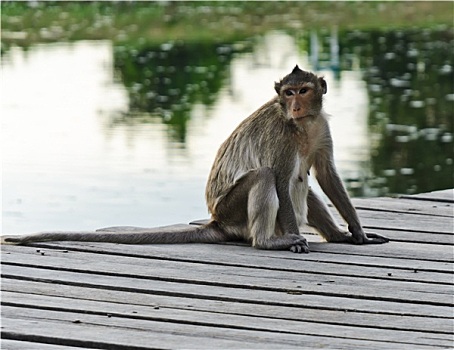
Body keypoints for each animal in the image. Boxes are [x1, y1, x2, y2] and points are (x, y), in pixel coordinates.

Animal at [1, 65, 388, 252]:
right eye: (289, 93)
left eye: (303, 91)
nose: (294, 105)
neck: (301, 124)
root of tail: (216, 220)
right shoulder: (281, 135)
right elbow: (279, 178)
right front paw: (296, 238)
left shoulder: (320, 127)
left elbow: (325, 175)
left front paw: (357, 232)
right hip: (232, 212)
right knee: (266, 177)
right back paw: (268, 241)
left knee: (304, 186)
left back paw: (336, 237)